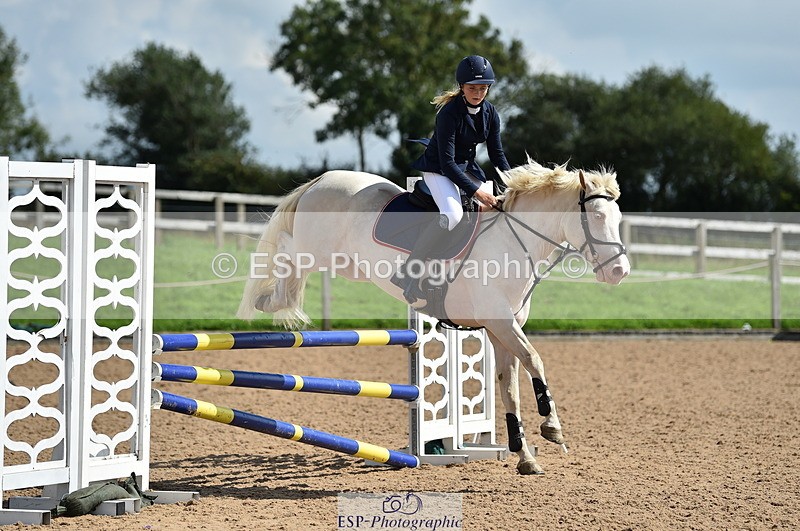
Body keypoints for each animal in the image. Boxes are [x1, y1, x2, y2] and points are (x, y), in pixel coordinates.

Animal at [237, 158, 630, 475]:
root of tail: (323, 178)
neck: (513, 244)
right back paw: (266, 298)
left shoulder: (500, 328)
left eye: (618, 218)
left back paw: (274, 300)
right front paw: (553, 429)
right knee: (286, 252)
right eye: (597, 217)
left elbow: (509, 387)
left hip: (347, 264)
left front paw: (525, 457)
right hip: (314, 250)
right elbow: (535, 360)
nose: (619, 272)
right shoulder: (500, 321)